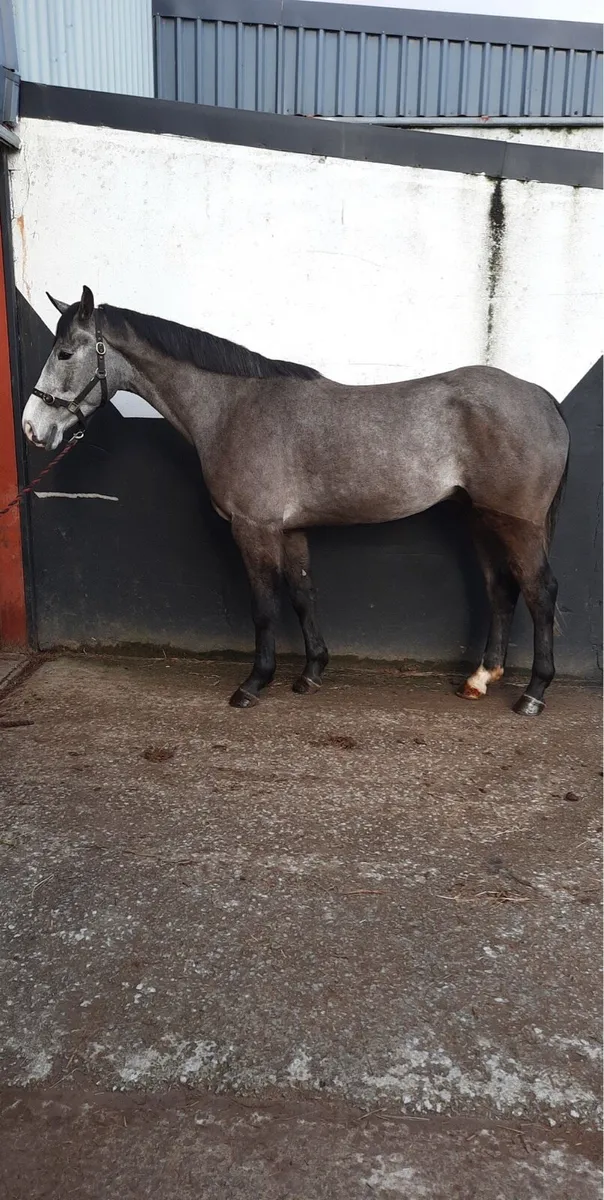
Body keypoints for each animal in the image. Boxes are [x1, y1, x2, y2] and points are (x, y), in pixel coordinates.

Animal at [22, 286, 569, 716]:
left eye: (65, 354)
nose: (32, 428)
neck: (232, 408)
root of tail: (541, 397)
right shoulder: (290, 530)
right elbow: (304, 595)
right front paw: (310, 674)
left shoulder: (254, 528)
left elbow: (264, 605)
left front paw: (252, 684)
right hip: (482, 519)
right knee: (501, 589)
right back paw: (480, 679)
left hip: (516, 523)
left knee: (540, 592)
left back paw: (533, 694)